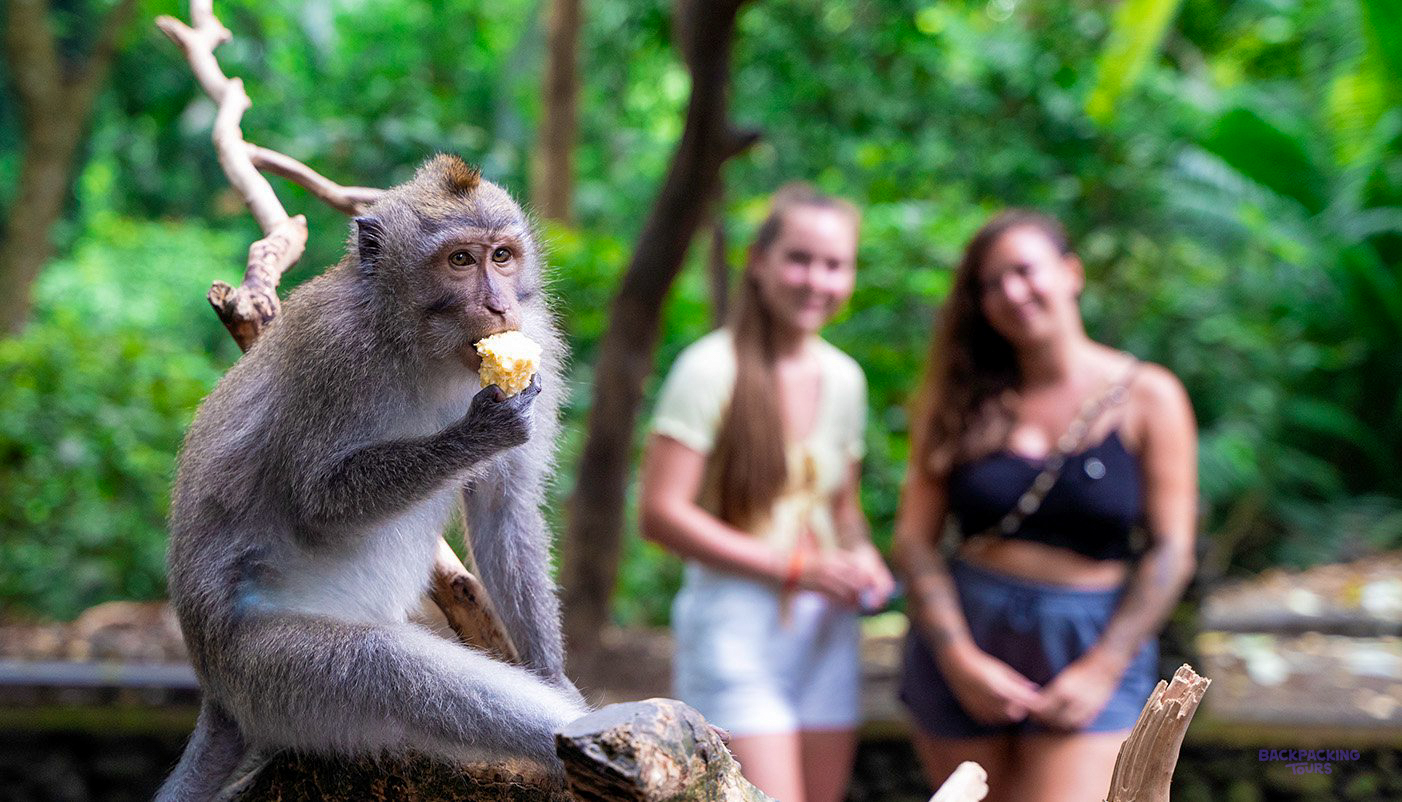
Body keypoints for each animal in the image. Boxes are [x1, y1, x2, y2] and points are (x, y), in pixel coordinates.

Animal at [155, 154, 587, 801]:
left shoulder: (538, 341)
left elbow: (503, 507)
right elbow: (315, 501)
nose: (499, 306)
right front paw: (476, 435)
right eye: (461, 260)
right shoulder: (333, 353)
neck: (422, 346)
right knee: (393, 673)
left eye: (502, 256)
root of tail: (216, 694)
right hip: (264, 673)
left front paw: (554, 675)